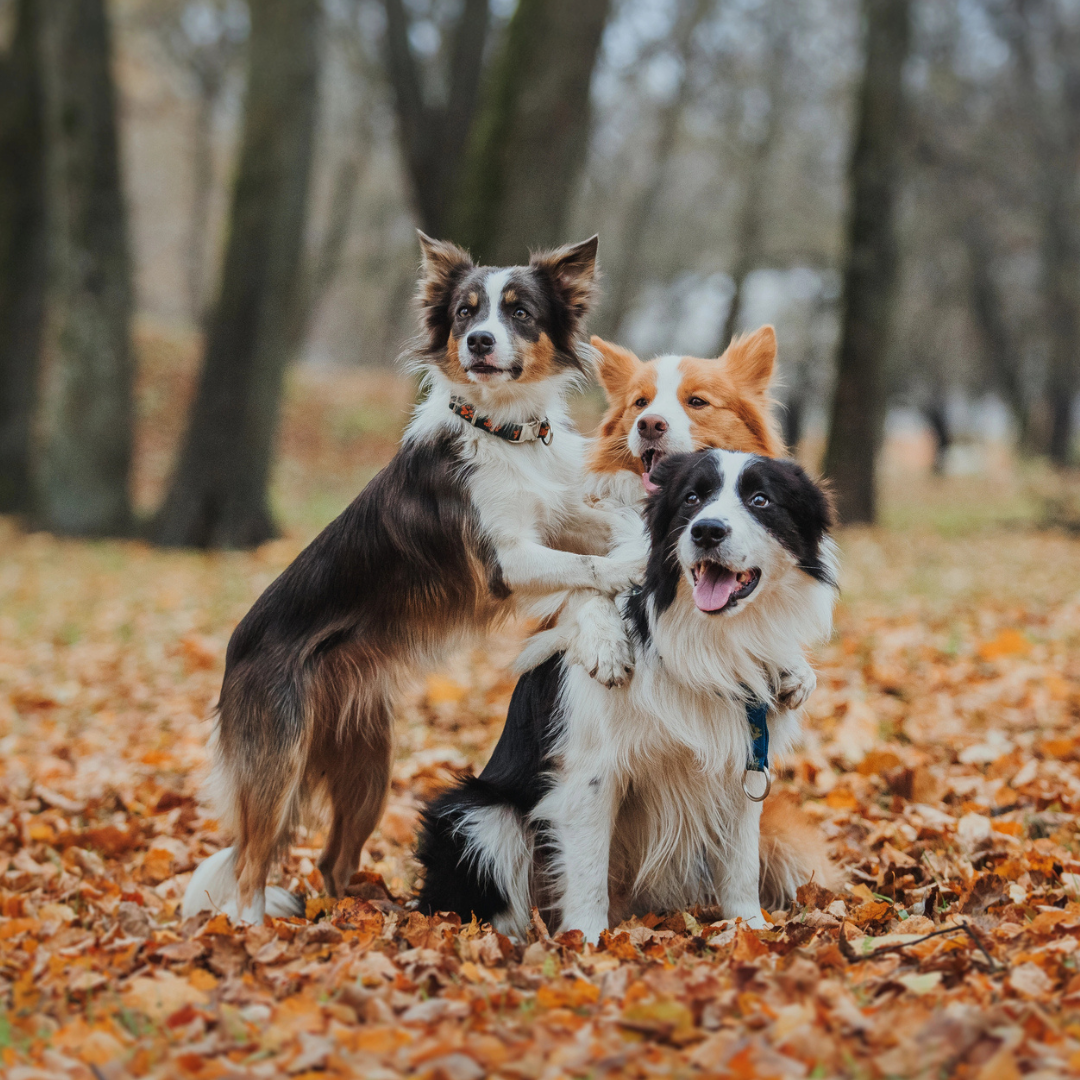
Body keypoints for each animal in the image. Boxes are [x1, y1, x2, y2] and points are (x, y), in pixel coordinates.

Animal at [416, 447, 838, 937]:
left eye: (760, 500)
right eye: (692, 498)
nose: (706, 531)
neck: (705, 642)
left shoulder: (745, 764)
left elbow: (741, 863)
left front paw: (747, 927)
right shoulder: (591, 770)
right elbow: (587, 870)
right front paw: (586, 940)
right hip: (478, 814)